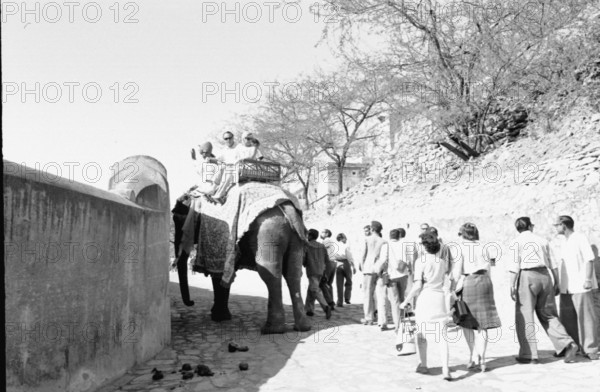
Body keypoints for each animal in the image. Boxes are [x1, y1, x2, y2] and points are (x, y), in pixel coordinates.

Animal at [172, 196, 310, 334]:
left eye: (176, 220)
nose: (192, 302)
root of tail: (288, 210)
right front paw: (223, 316)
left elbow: (219, 274)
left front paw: (218, 317)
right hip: (294, 238)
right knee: (293, 274)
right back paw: (302, 327)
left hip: (269, 234)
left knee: (271, 275)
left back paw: (271, 329)